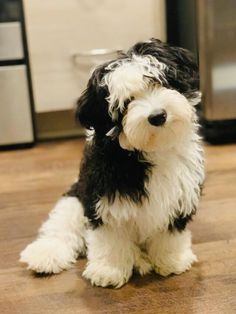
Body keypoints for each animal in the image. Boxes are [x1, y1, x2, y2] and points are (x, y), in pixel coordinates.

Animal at [20, 38, 205, 288]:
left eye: (160, 82)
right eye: (126, 102)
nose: (158, 116)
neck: (150, 150)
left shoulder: (180, 196)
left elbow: (170, 232)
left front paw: (172, 260)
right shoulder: (104, 199)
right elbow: (111, 237)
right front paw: (109, 270)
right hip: (74, 200)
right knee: (61, 228)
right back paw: (45, 255)